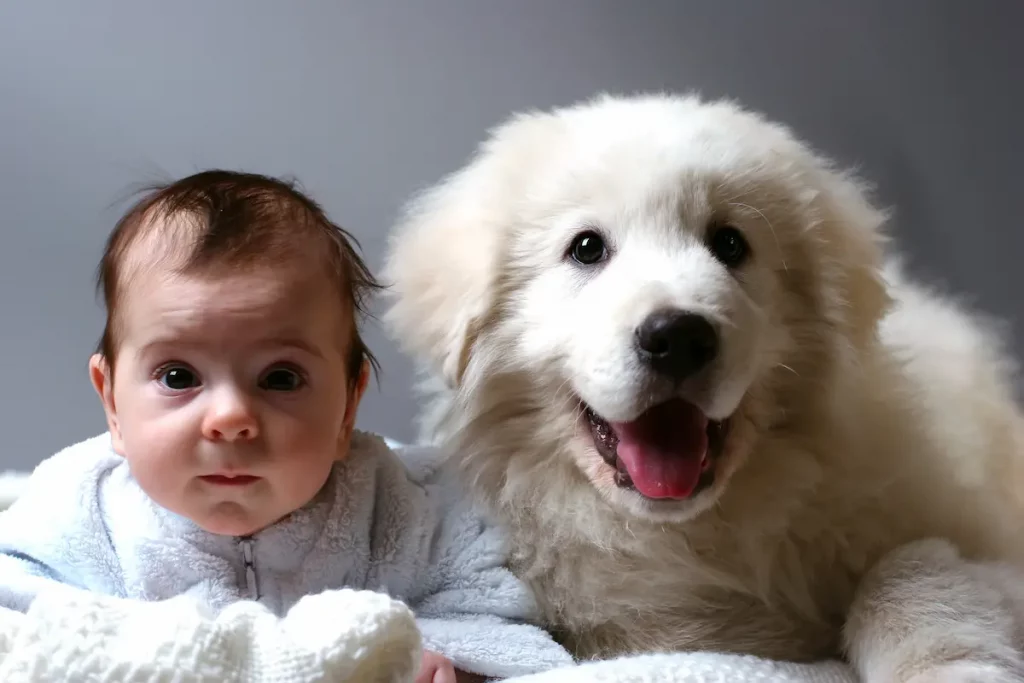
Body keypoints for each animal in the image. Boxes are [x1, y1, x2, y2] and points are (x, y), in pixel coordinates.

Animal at [380, 92, 1024, 683]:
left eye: (730, 244)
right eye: (586, 248)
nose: (678, 337)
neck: (690, 536)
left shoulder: (976, 544)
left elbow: (910, 571)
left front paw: (948, 666)